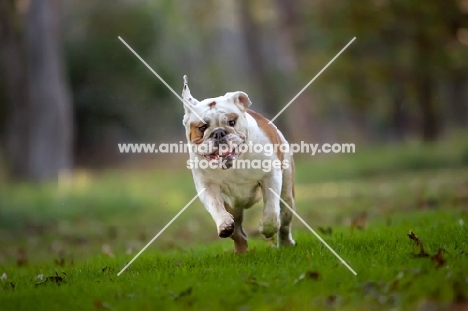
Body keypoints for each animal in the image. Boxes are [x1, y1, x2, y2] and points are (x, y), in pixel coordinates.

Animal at [181, 77, 294, 255]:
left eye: (232, 122)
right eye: (202, 127)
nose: (218, 132)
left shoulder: (271, 176)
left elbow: (271, 209)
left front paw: (267, 228)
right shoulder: (207, 187)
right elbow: (215, 206)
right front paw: (223, 224)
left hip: (287, 193)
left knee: (285, 220)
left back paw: (285, 244)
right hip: (233, 207)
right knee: (238, 233)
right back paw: (240, 253)